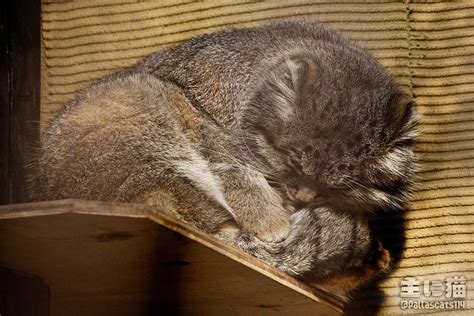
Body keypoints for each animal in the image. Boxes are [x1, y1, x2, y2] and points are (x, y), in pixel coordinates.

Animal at [33, 19, 418, 292]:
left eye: (337, 186)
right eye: (293, 162)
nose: (301, 197)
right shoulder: (206, 125)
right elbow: (239, 175)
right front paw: (272, 221)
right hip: (145, 107)